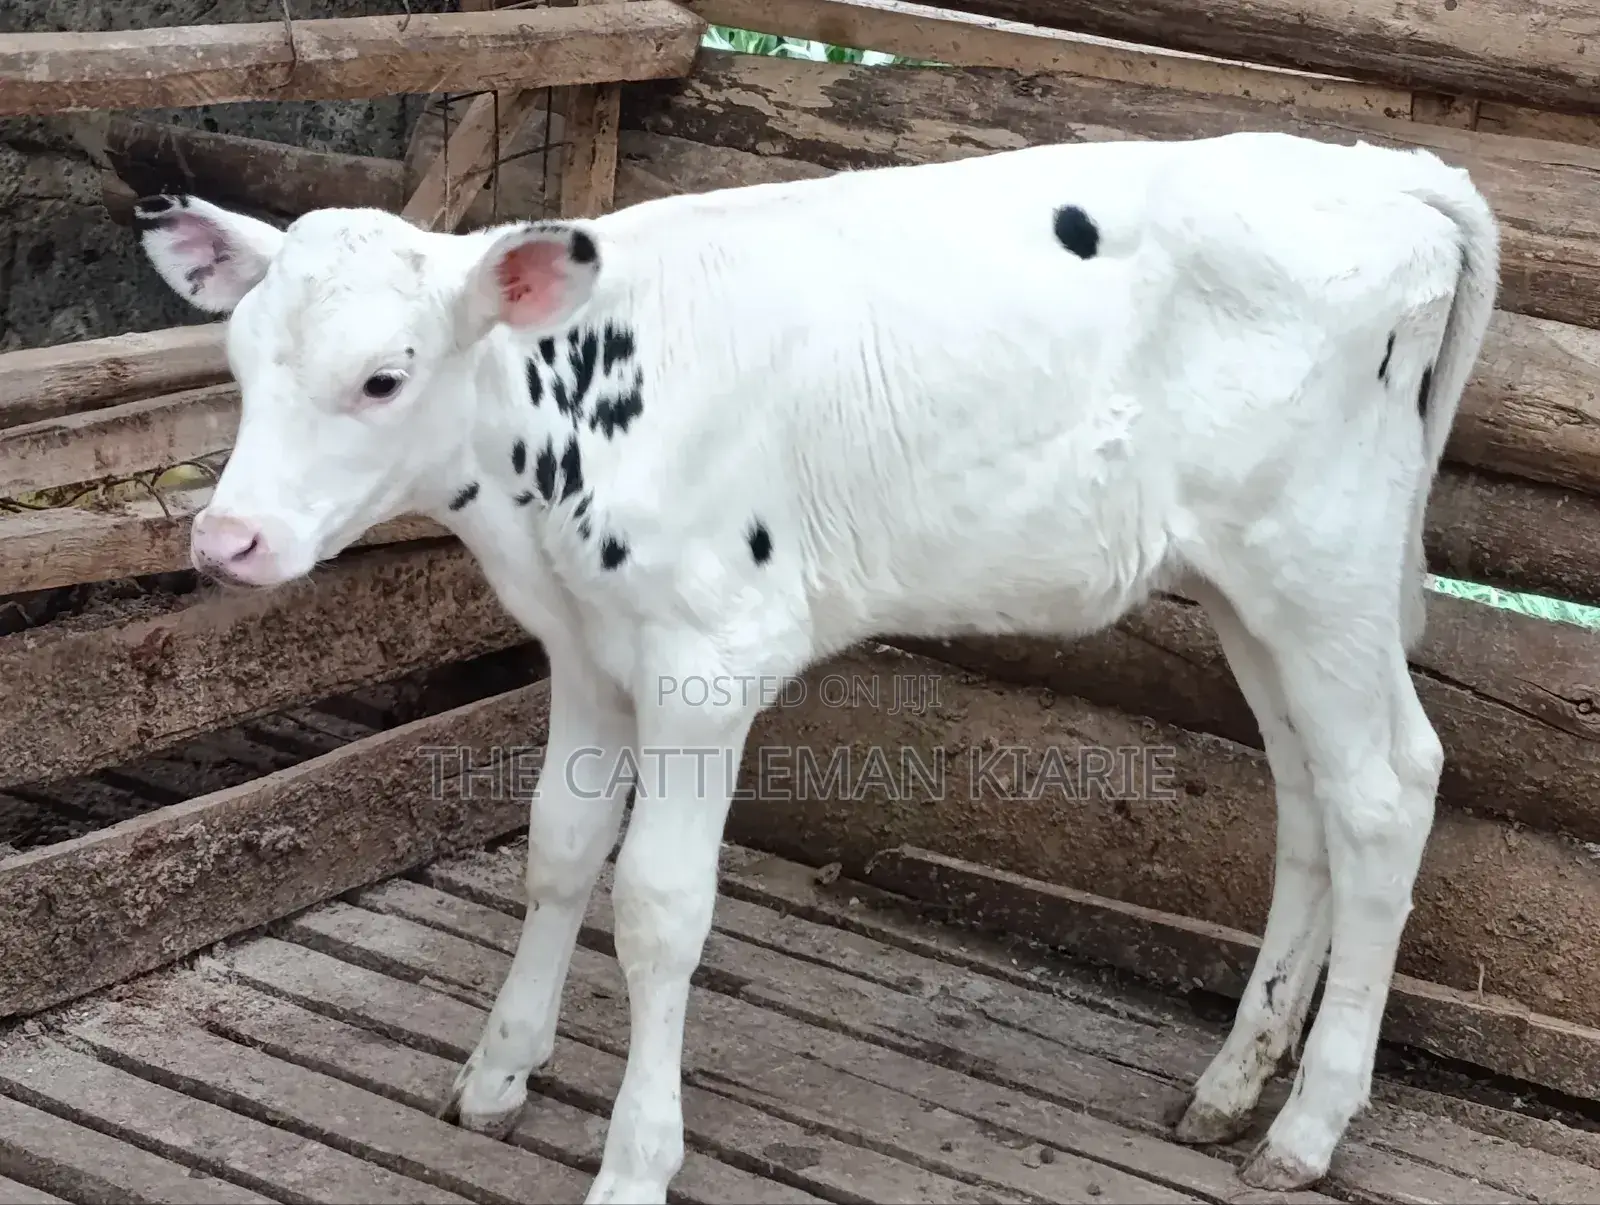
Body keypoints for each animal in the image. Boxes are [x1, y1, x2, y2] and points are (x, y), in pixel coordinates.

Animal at [131, 128, 1499, 1203]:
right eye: (238, 365)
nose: (226, 539)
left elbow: (658, 907)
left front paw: (635, 1160)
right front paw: (497, 1070)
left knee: (1387, 790)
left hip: (1321, 562)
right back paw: (1230, 1083)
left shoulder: (706, 660)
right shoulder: (585, 644)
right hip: (1246, 586)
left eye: (382, 377)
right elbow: (558, 849)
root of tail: (1393, 170)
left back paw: (1309, 1124)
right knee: (1309, 798)